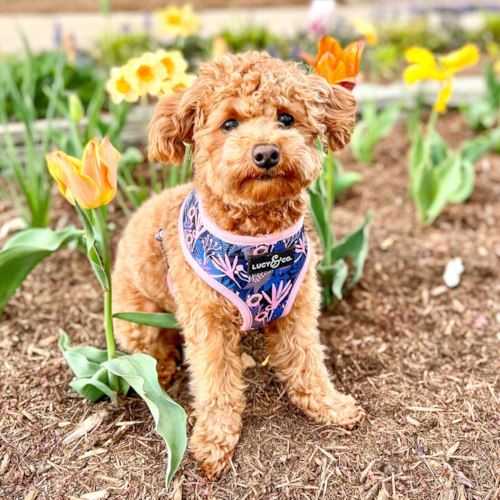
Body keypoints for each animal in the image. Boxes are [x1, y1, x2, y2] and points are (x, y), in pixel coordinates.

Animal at [112, 51, 364, 480]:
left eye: (286, 118)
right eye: (229, 123)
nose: (266, 153)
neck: (260, 244)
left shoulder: (297, 307)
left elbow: (307, 362)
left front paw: (328, 405)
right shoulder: (207, 323)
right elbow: (215, 384)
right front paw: (214, 441)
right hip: (134, 319)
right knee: (153, 347)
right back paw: (163, 371)